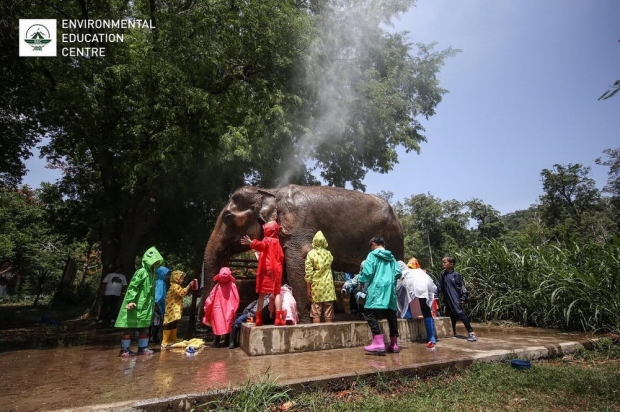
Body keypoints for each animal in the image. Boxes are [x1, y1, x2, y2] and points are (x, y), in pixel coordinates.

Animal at [201, 185, 404, 324]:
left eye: (228, 217)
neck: (269, 191)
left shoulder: (297, 225)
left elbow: (296, 263)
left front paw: (303, 322)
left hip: (393, 239)